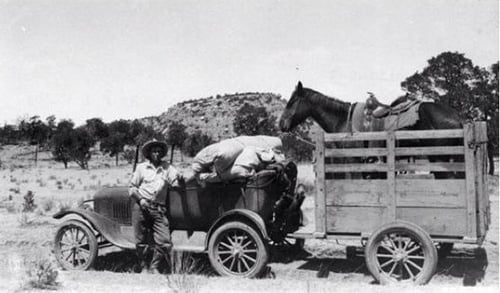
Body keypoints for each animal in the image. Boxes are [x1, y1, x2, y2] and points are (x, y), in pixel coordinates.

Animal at [280, 81, 462, 179]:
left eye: (291, 102)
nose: (280, 124)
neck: (344, 120)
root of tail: (457, 117)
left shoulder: (353, 161)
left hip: (440, 158)